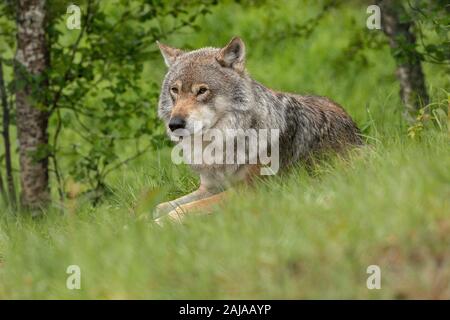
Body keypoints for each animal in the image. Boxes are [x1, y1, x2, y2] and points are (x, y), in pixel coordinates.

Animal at [155, 37, 362, 222]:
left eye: (202, 91)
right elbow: (162, 205)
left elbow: (183, 209)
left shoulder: (249, 191)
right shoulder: (208, 188)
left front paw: (159, 223)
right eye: (175, 90)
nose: (175, 124)